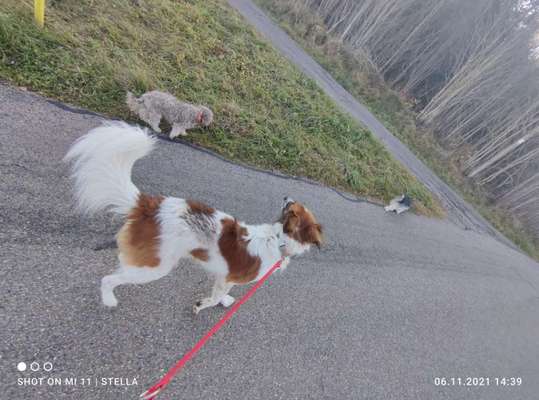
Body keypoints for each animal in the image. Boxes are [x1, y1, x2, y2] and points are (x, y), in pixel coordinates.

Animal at [65, 122, 322, 312]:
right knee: (108, 279)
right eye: (293, 207)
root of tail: (148, 204)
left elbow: (221, 292)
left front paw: (222, 301)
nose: (286, 196)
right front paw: (203, 305)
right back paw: (109, 299)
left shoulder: (224, 275)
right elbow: (215, 296)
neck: (278, 239)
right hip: (154, 267)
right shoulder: (231, 277)